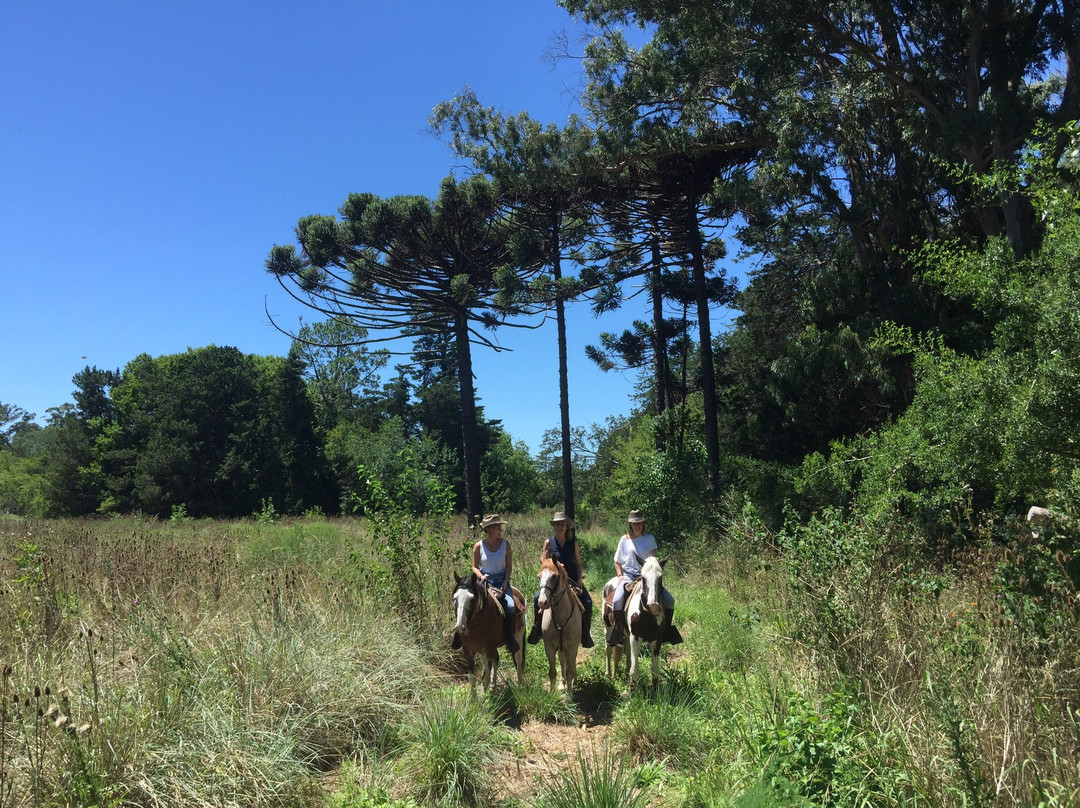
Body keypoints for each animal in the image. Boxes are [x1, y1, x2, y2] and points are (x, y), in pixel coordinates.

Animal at [451, 566, 527, 695]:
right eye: (455, 598)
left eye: (472, 598)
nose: (460, 627)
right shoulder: (468, 651)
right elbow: (472, 677)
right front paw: (474, 698)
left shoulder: (487, 647)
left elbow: (488, 670)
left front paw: (488, 693)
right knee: (494, 660)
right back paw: (492, 686)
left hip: (518, 635)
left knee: (518, 658)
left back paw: (520, 685)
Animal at [533, 557, 583, 695]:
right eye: (539, 577)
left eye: (554, 576)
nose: (542, 602)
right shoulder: (549, 647)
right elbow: (552, 672)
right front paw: (552, 693)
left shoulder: (572, 647)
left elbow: (570, 671)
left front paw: (570, 695)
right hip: (561, 648)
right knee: (562, 662)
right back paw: (562, 683)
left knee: (571, 663)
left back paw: (574, 679)